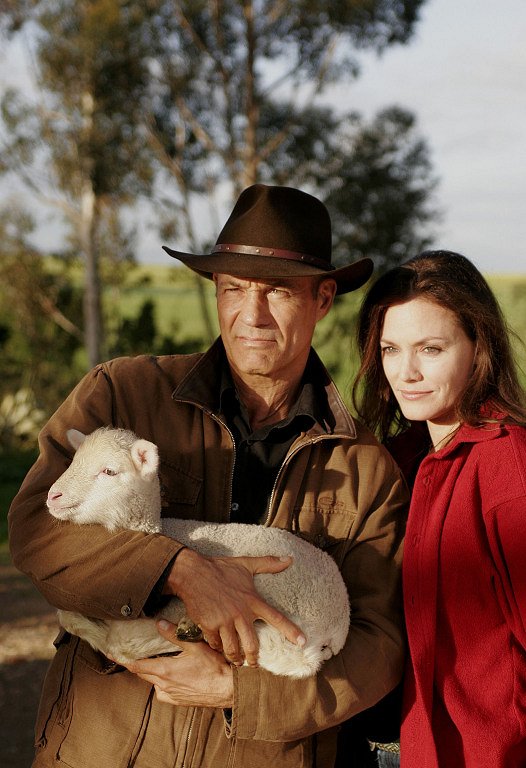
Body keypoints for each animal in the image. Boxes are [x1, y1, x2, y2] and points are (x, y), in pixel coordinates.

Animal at [45, 426, 350, 680]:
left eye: (109, 471)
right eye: (73, 462)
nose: (52, 496)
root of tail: (338, 625)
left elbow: (117, 642)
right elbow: (66, 616)